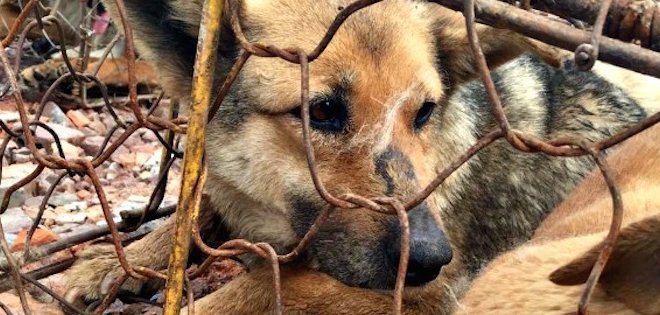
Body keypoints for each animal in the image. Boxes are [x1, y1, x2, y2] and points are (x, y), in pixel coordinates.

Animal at [63, 1, 648, 314]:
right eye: (322, 110)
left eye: (424, 111)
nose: (431, 257)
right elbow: (199, 203)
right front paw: (121, 258)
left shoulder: (429, 295)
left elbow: (270, 283)